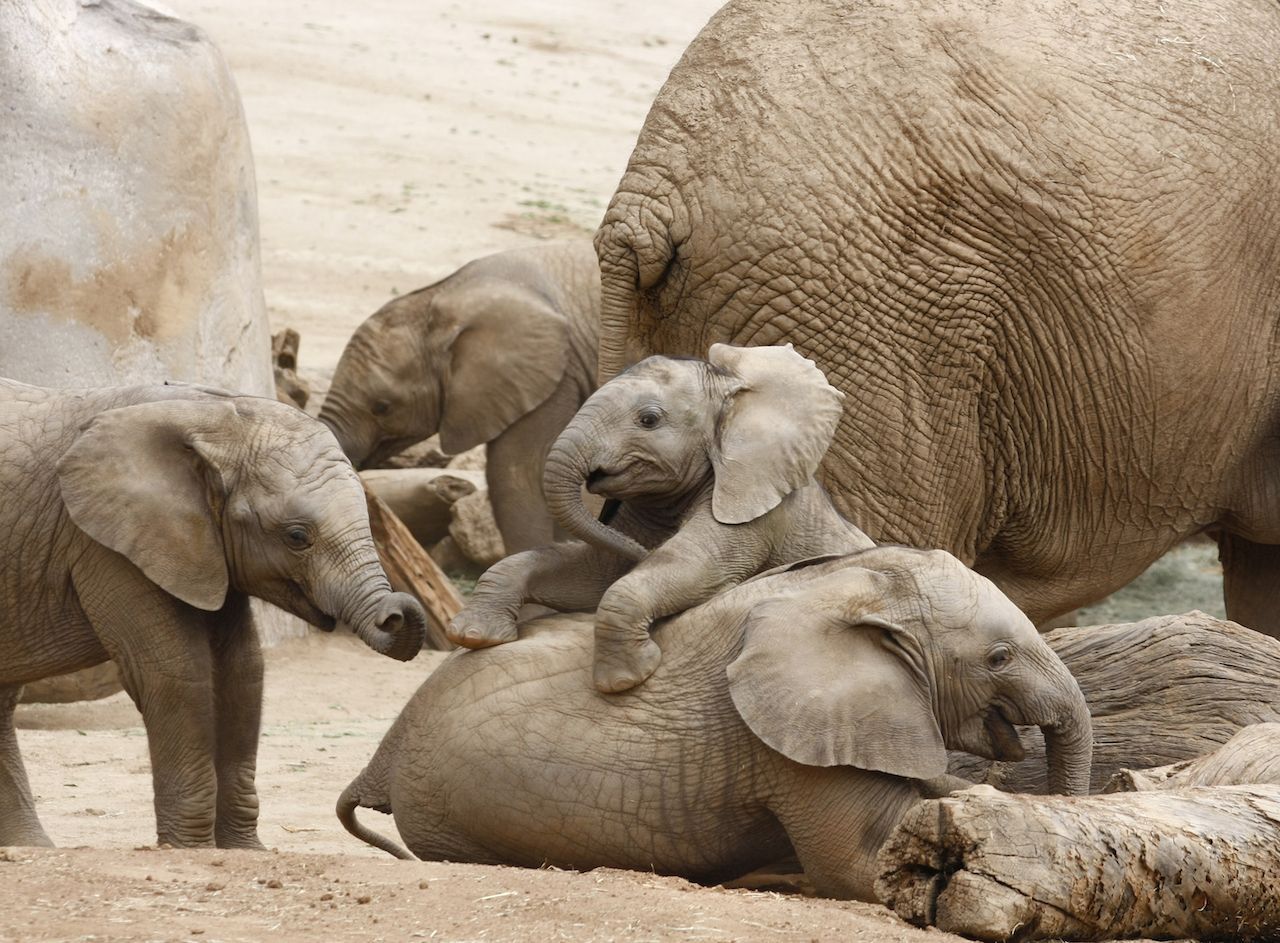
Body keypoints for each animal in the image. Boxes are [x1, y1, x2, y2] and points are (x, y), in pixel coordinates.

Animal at [0, 378, 430, 849]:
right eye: (297, 537)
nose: (397, 613)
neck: (212, 414)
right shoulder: (106, 541)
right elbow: (175, 672)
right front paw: (189, 850)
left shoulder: (202, 545)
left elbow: (243, 672)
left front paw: (246, 851)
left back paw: (29, 847)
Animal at [340, 547, 1090, 900]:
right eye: (999, 657)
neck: (853, 591)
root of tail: (383, 753)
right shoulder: (788, 743)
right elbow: (866, 859)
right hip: (454, 816)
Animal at [445, 342, 875, 685]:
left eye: (648, 420)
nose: (642, 553)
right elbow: (596, 572)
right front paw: (475, 636)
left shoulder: (757, 512)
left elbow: (690, 565)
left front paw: (626, 679)